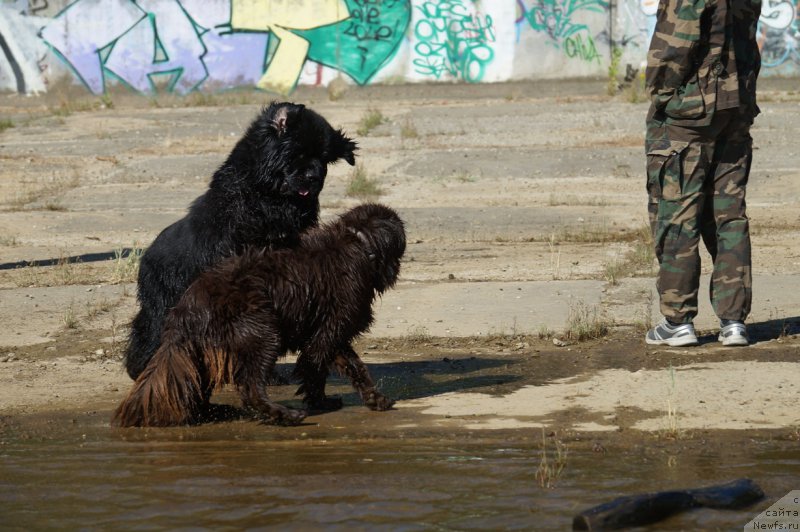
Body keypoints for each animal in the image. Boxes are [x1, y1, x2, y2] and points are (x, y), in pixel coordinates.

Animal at [125, 103, 356, 378]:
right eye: (297, 152)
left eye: (324, 159)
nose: (315, 176)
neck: (263, 190)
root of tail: (146, 257)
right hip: (165, 300)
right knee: (150, 329)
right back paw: (144, 367)